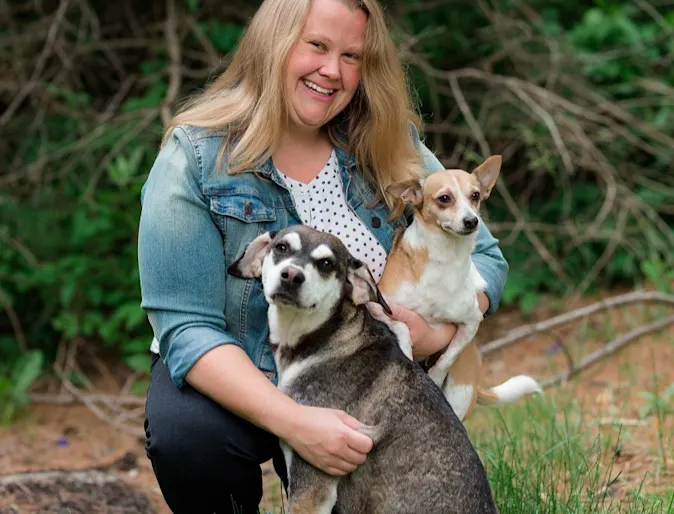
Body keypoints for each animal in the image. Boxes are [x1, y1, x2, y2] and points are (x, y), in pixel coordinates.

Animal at [378, 156, 540, 420]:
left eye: (475, 195)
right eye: (444, 198)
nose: (472, 220)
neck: (445, 258)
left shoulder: (471, 322)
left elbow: (448, 356)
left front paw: (434, 375)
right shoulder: (378, 306)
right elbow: (402, 327)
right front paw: (408, 354)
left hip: (458, 397)